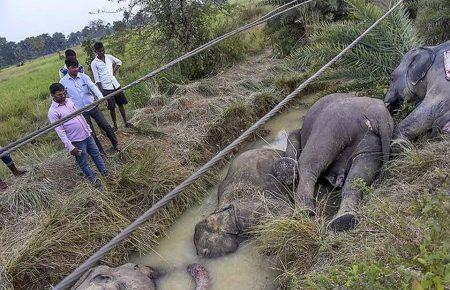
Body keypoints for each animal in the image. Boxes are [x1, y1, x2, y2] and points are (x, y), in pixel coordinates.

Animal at [272, 94, 392, 232]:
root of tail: (377, 113)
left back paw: (304, 212)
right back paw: (343, 220)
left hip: (332, 126)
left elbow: (294, 136)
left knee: (310, 162)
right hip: (368, 139)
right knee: (359, 173)